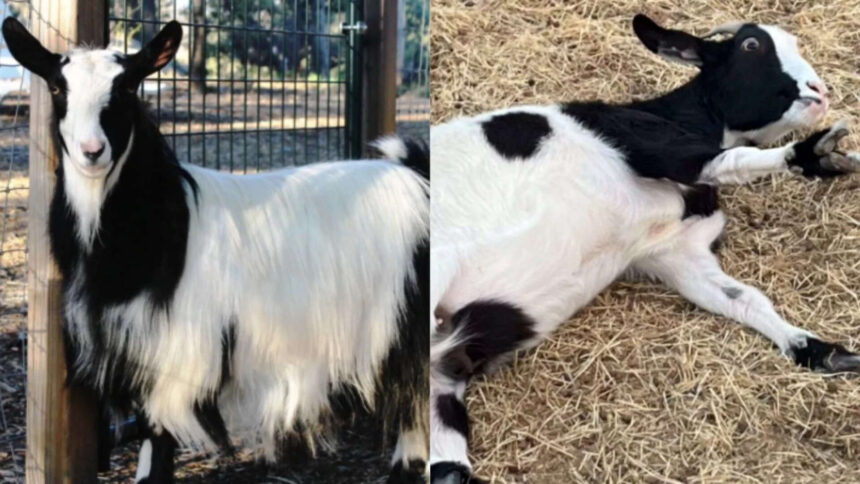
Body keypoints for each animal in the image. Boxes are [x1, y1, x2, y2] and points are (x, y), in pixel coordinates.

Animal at [3, 18, 429, 483]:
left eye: (128, 86)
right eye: (57, 87)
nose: (92, 151)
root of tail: (418, 172)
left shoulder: (177, 349)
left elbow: (157, 434)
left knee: (417, 396)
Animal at [429, 14, 860, 483]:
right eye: (751, 45)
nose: (820, 91)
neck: (668, 114)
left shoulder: (674, 253)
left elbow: (744, 299)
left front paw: (821, 351)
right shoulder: (650, 144)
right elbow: (729, 161)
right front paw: (812, 153)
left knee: (446, 467)